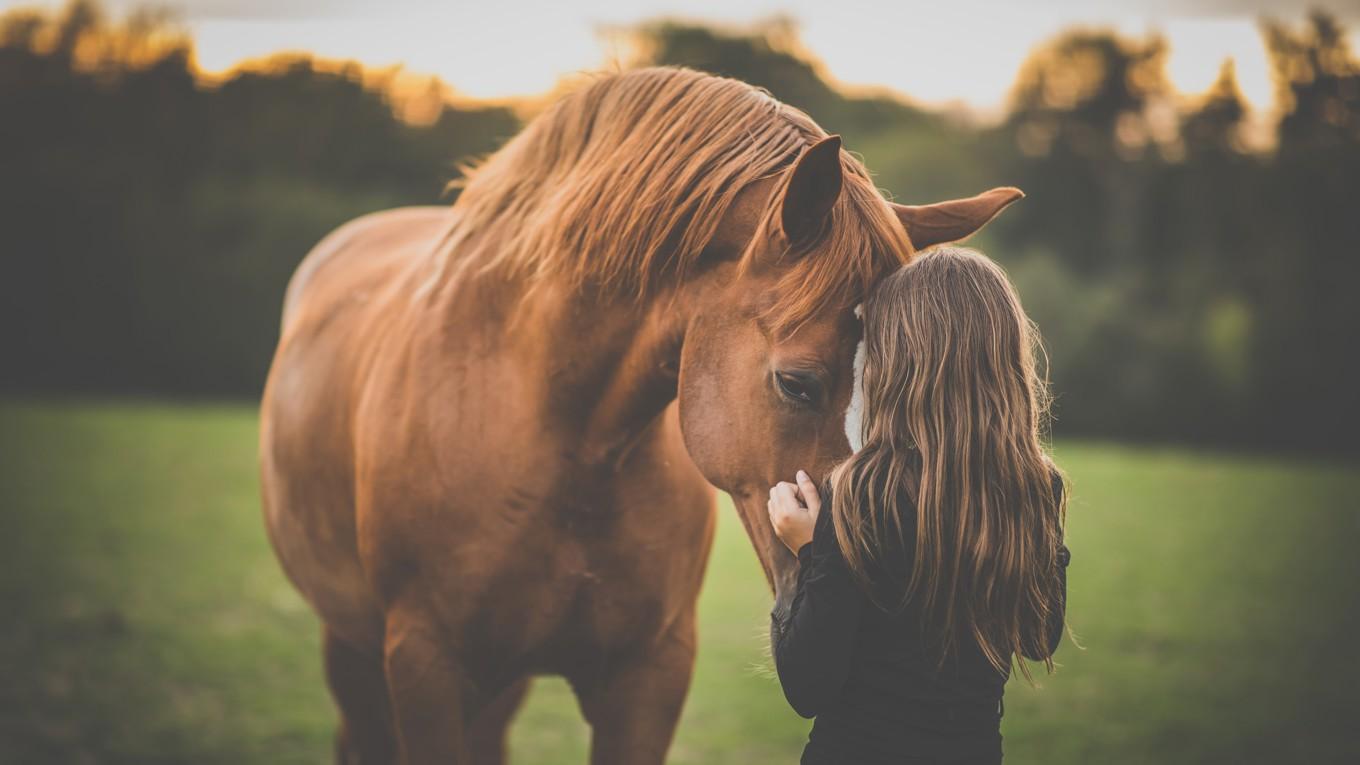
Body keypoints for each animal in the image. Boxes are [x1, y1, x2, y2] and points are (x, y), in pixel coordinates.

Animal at [259, 67, 1017, 762]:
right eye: (798, 384)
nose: (887, 607)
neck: (552, 436)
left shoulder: (650, 675)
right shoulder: (425, 664)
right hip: (355, 648)